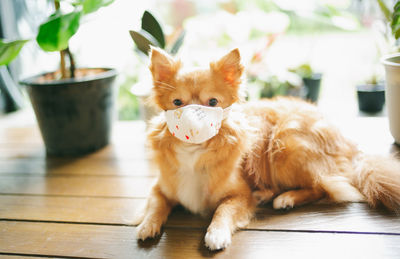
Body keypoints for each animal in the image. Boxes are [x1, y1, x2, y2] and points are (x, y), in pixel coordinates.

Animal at [134, 47, 400, 252]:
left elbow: (223, 210)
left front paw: (216, 233)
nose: (191, 120)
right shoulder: (160, 187)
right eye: (177, 103)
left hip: (283, 145)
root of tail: (349, 143)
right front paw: (147, 225)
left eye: (213, 102)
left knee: (324, 186)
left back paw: (285, 197)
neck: (195, 152)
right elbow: (156, 204)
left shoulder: (239, 195)